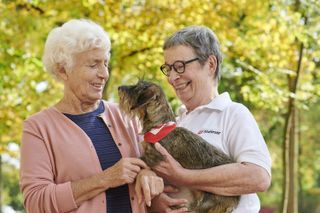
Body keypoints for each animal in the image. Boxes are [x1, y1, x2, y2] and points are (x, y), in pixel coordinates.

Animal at [119, 80, 239, 213]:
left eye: (136, 88)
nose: (119, 88)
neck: (160, 126)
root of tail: (236, 199)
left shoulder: (153, 156)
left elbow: (138, 159)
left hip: (205, 203)